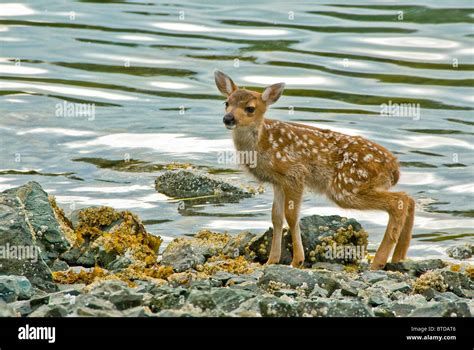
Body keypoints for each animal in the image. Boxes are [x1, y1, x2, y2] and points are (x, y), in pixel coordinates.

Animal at [215, 69, 414, 270]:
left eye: (250, 108)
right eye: (227, 103)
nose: (228, 118)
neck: (262, 143)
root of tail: (394, 168)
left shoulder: (295, 173)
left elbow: (291, 216)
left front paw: (297, 260)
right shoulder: (278, 181)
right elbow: (276, 217)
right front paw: (272, 260)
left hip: (347, 186)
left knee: (399, 201)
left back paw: (379, 262)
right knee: (408, 198)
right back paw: (398, 257)